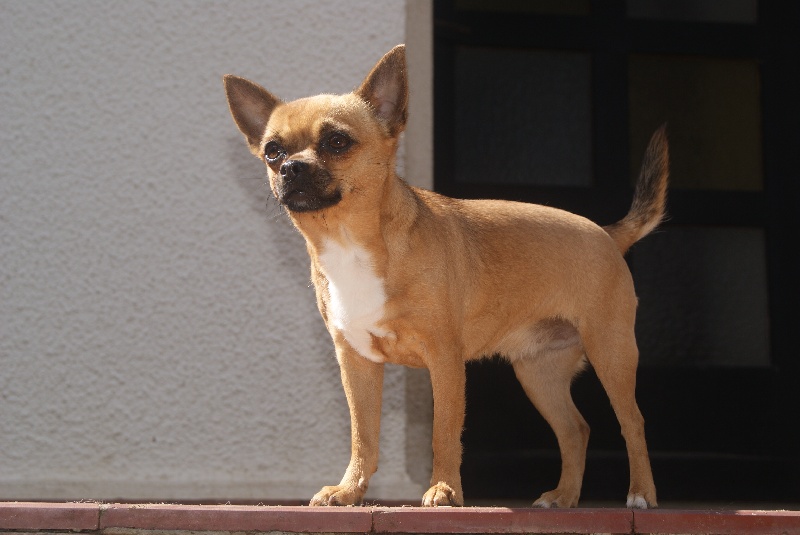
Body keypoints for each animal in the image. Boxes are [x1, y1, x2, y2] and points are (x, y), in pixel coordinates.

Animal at [222, 44, 664, 508]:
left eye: (337, 142)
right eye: (272, 150)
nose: (291, 168)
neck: (353, 242)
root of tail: (607, 232)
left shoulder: (445, 361)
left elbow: (444, 432)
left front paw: (445, 489)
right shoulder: (357, 364)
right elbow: (363, 437)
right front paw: (349, 490)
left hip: (611, 354)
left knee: (632, 423)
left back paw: (640, 493)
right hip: (539, 373)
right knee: (575, 430)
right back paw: (563, 496)